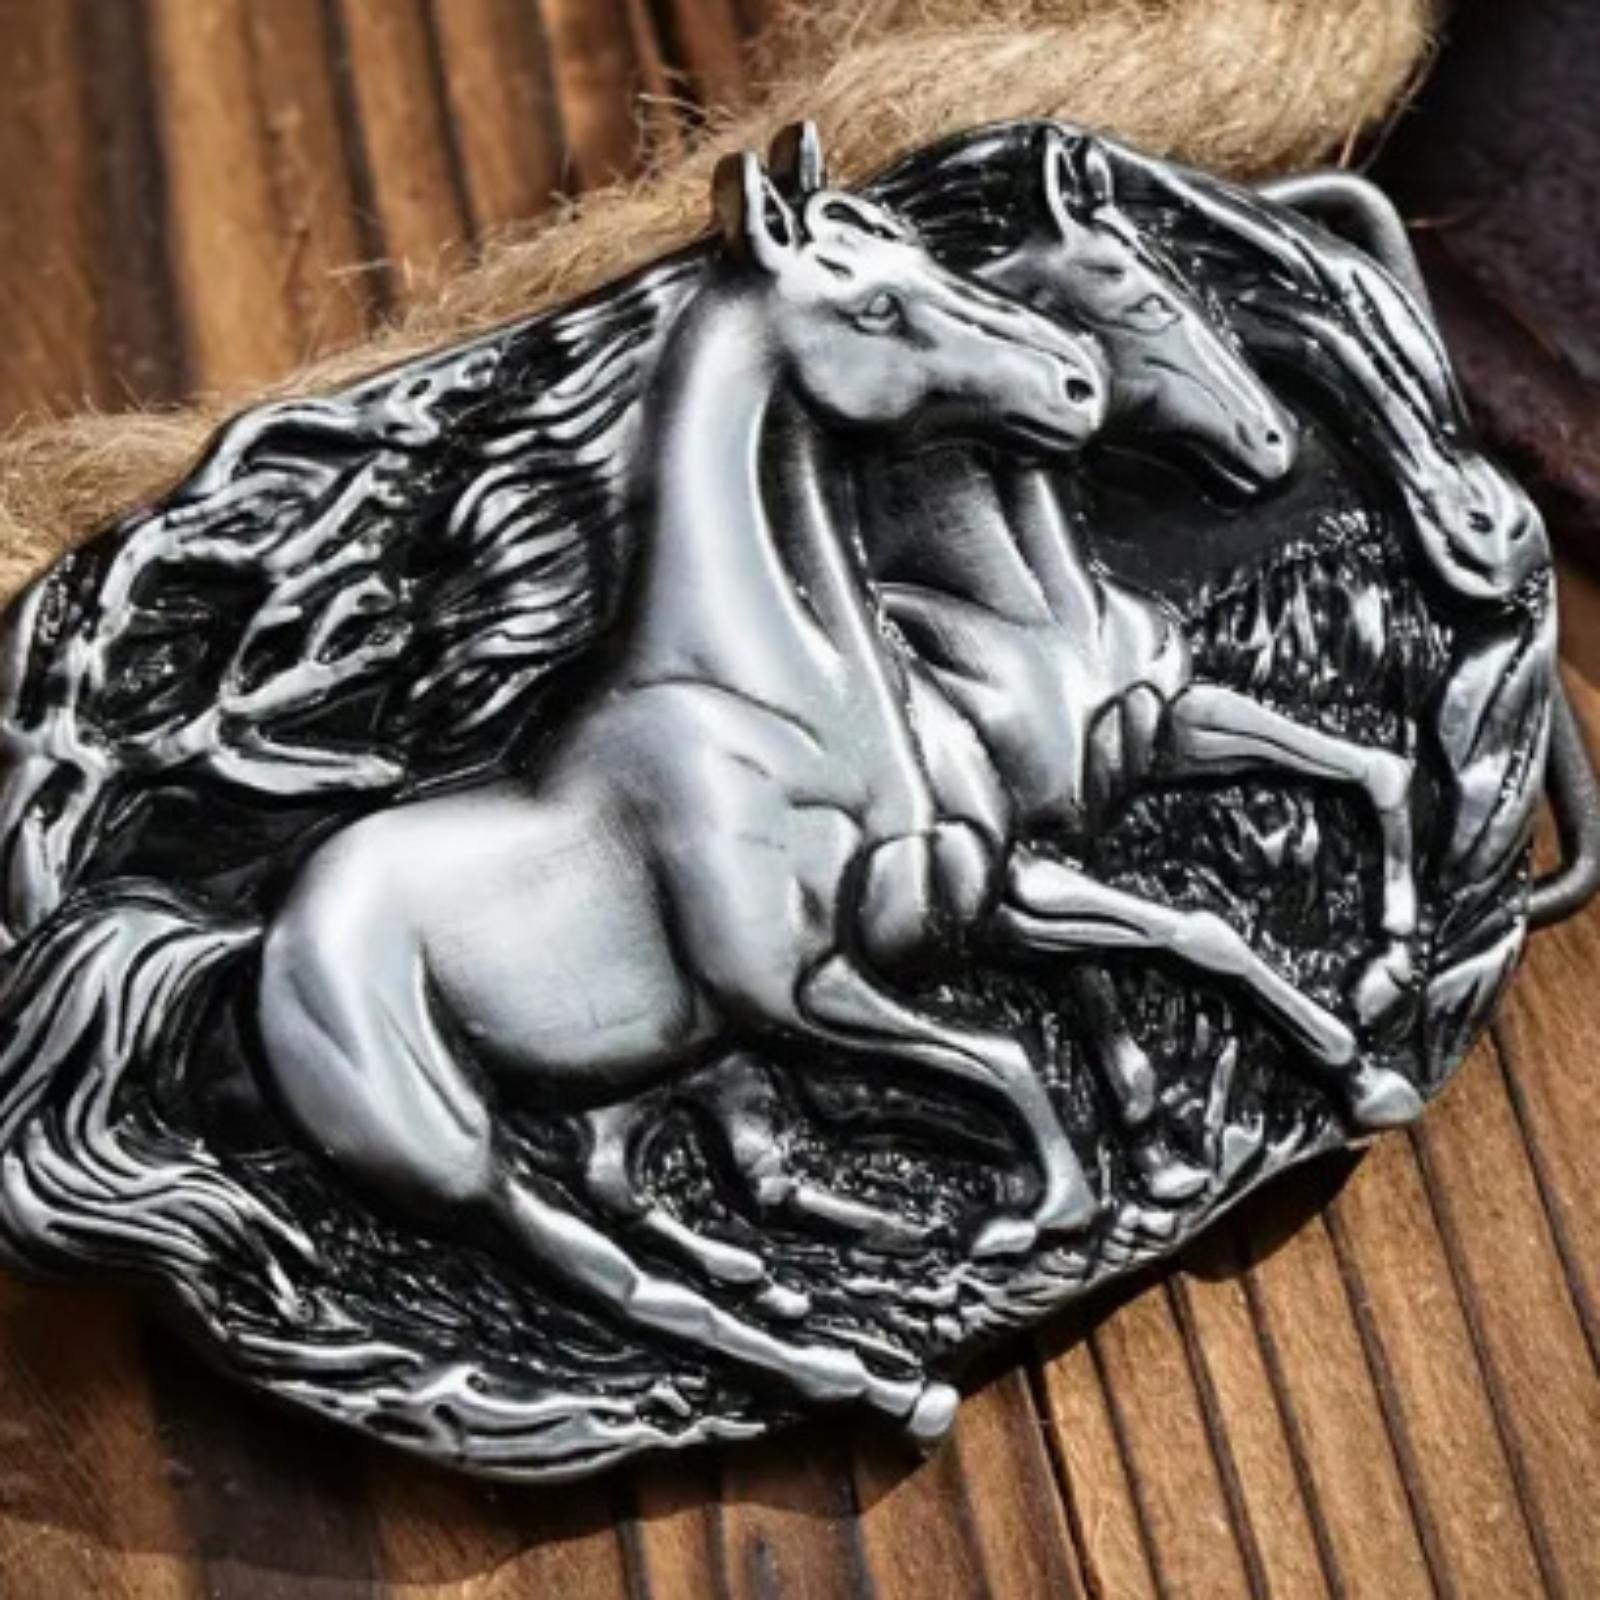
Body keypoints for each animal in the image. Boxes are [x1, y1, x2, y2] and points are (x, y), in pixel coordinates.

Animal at [249, 140, 1114, 1437]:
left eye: (922, 252)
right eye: (876, 306)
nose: (1078, 383)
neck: (782, 705)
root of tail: (256, 938)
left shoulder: (906, 945)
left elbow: (1031, 1019)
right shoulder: (794, 992)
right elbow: (999, 1050)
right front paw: (1038, 1212)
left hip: (623, 1076)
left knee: (636, 1189)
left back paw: (816, 1269)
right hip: (450, 1148)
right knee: (601, 1267)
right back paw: (873, 1374)